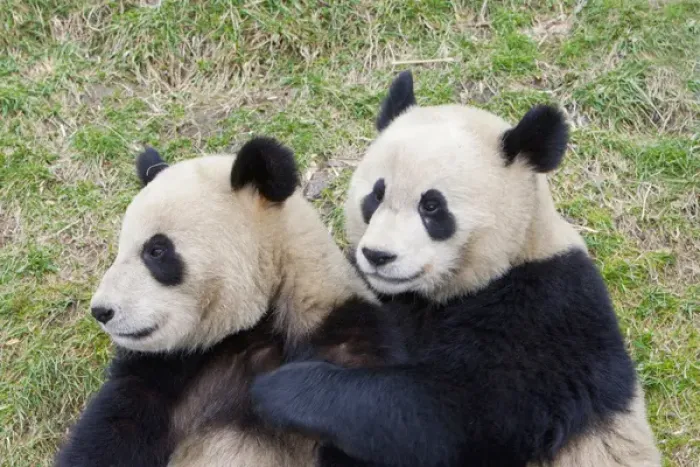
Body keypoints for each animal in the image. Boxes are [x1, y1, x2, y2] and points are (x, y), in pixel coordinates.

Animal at [55, 137, 406, 467]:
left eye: (156, 250)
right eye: (121, 249)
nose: (101, 311)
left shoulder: (346, 340)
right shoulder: (168, 369)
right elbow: (112, 432)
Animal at [250, 71, 662, 467]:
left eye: (432, 207)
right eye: (376, 195)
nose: (378, 255)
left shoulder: (546, 313)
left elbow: (450, 416)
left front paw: (281, 389)